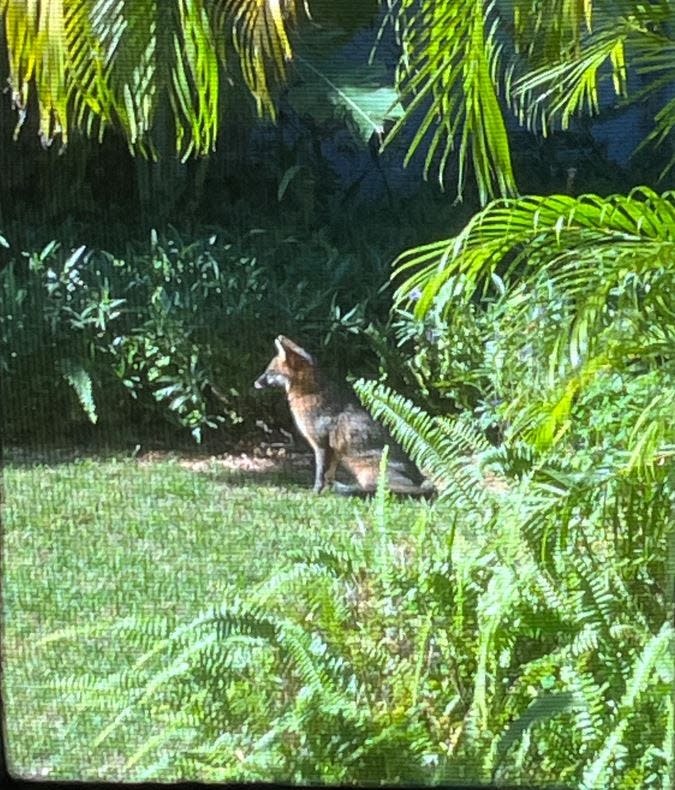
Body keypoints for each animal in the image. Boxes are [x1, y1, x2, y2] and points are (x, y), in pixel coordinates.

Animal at [254, 338, 434, 498]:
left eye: (270, 372)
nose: (255, 382)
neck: (311, 393)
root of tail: (420, 480)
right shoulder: (333, 451)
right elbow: (329, 475)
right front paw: (326, 492)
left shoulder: (321, 445)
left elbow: (320, 474)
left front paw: (315, 493)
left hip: (366, 472)